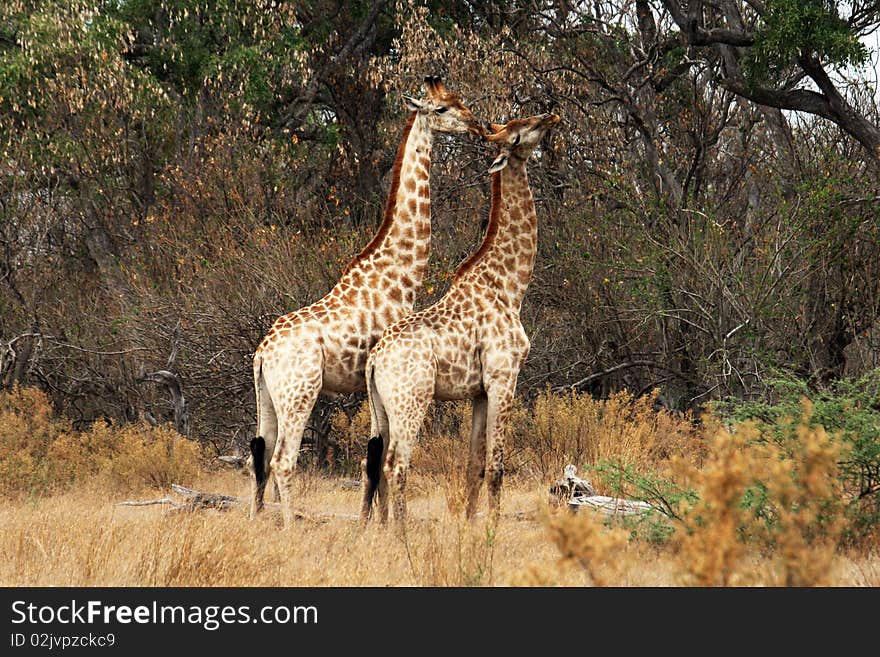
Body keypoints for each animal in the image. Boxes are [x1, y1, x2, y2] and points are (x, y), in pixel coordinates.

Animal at [249, 78, 482, 528]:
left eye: (460, 101)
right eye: (442, 109)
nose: (477, 124)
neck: (399, 272)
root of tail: (262, 353)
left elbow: (372, 457)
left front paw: (372, 522)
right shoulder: (378, 374)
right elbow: (375, 458)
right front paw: (378, 523)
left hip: (267, 394)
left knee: (259, 452)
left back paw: (255, 520)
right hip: (300, 391)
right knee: (284, 459)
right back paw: (288, 527)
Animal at [360, 113, 560, 528]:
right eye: (519, 132)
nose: (551, 114)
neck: (511, 286)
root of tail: (373, 359)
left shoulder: (479, 391)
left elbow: (474, 465)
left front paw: (468, 527)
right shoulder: (503, 377)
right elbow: (497, 467)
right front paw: (492, 532)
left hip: (380, 406)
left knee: (375, 463)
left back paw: (377, 529)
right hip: (411, 400)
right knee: (396, 464)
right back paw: (401, 533)